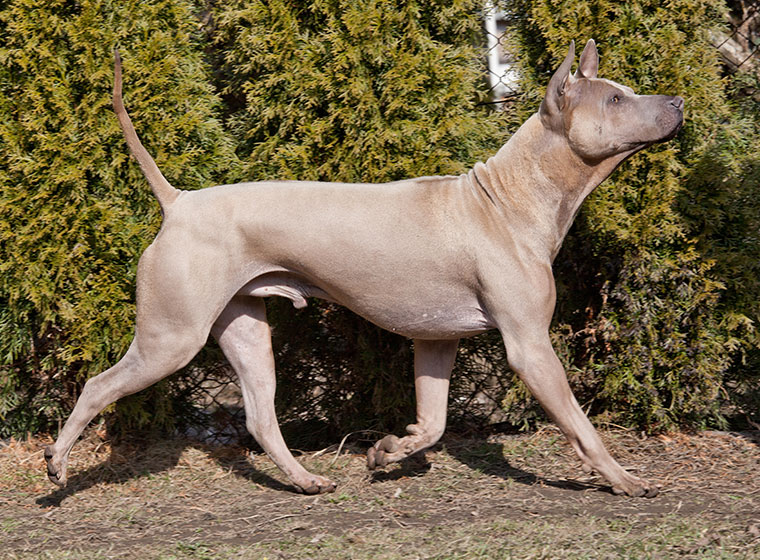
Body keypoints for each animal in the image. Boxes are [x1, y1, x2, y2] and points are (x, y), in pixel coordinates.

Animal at [46, 40, 684, 498]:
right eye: (615, 101)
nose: (677, 102)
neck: (506, 197)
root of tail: (178, 201)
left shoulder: (437, 340)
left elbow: (434, 422)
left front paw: (389, 450)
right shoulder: (530, 346)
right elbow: (580, 424)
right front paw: (624, 479)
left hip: (246, 333)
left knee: (260, 417)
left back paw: (305, 480)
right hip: (170, 338)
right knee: (98, 385)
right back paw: (57, 466)